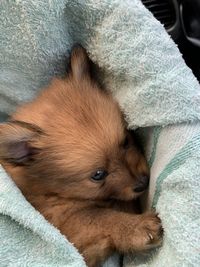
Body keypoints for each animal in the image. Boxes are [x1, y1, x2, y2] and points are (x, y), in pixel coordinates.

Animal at [0, 46, 162, 267]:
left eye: (125, 142)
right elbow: (104, 216)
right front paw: (136, 228)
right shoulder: (67, 222)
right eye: (98, 175)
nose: (143, 183)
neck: (52, 193)